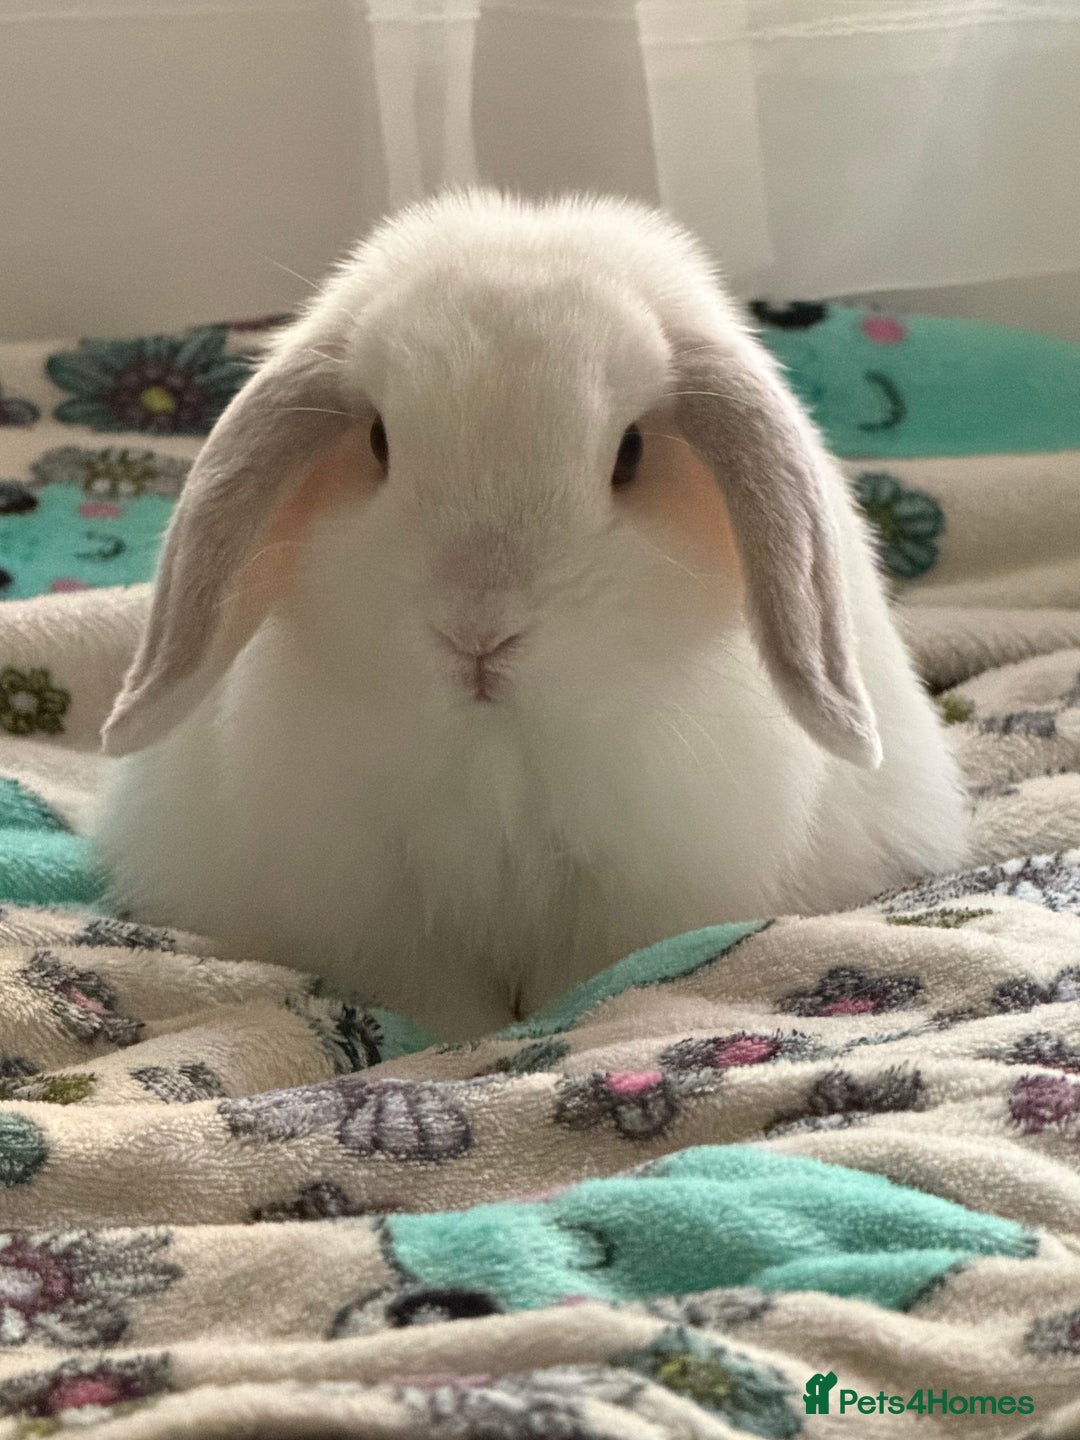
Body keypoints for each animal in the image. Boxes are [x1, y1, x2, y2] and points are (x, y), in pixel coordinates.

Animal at [93, 189, 970, 1041]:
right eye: (378, 440)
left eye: (630, 453)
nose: (477, 636)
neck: (499, 753)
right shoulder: (389, 921)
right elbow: (442, 1008)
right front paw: (459, 1046)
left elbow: (582, 988)